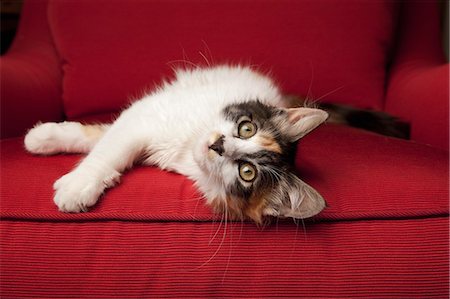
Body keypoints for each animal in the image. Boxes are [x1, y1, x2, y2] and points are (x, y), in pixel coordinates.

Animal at [22, 65, 406, 225]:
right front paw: (46, 141)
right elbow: (104, 143)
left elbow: (107, 147)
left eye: (247, 172)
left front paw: (77, 184)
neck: (187, 145)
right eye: (247, 128)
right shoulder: (145, 115)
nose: (219, 146)